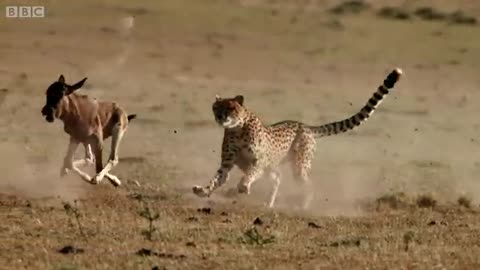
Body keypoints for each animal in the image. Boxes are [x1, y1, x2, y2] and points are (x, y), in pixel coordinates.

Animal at [191, 68, 402, 209]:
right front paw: (203, 190)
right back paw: (269, 203)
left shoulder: (259, 161)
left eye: (230, 108)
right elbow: (218, 178)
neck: (236, 128)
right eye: (216, 108)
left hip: (300, 165)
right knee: (278, 178)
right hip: (277, 167)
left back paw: (303, 206)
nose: (220, 117)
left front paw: (243, 186)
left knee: (308, 185)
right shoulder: (227, 164)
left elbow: (249, 174)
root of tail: (305, 125)